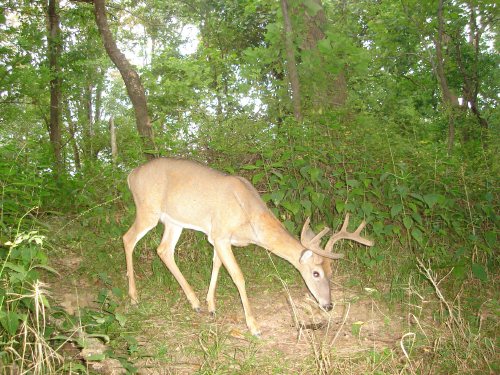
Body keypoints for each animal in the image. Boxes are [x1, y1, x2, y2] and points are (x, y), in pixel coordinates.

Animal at [122, 159, 372, 338]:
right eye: (316, 273)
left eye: (331, 272)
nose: (328, 305)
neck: (249, 218)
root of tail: (131, 175)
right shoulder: (222, 234)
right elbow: (238, 276)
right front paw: (254, 325)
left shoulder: (217, 237)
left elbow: (216, 265)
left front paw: (210, 305)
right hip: (148, 210)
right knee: (128, 238)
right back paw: (133, 297)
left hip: (174, 221)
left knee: (163, 250)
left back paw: (194, 303)